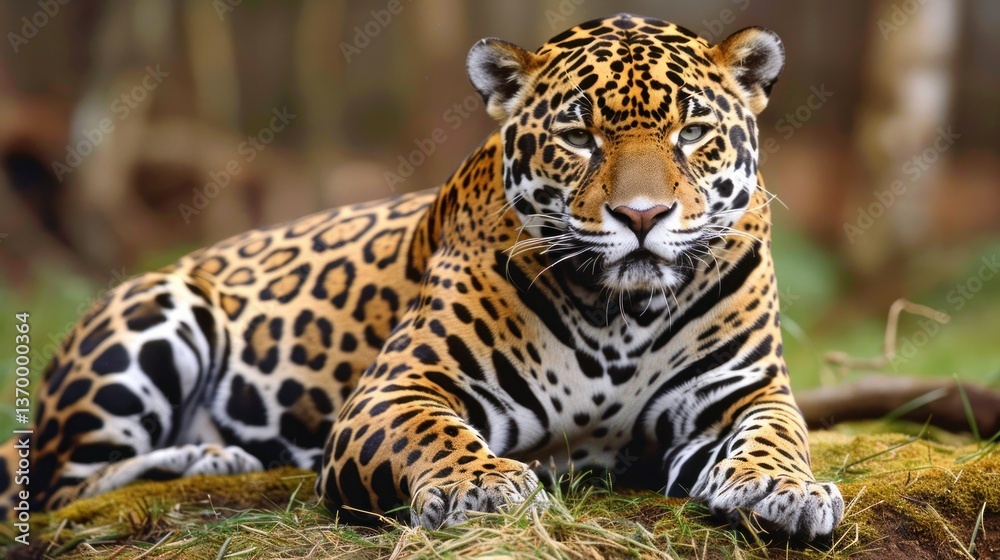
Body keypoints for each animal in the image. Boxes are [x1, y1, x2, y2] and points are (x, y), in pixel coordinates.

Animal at [1, 14, 843, 541]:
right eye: (578, 137)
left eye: (693, 132)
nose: (643, 216)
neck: (621, 313)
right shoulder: (397, 390)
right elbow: (434, 432)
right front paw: (482, 485)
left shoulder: (742, 393)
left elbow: (779, 435)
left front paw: (787, 491)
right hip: (161, 313)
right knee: (62, 483)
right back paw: (213, 458)